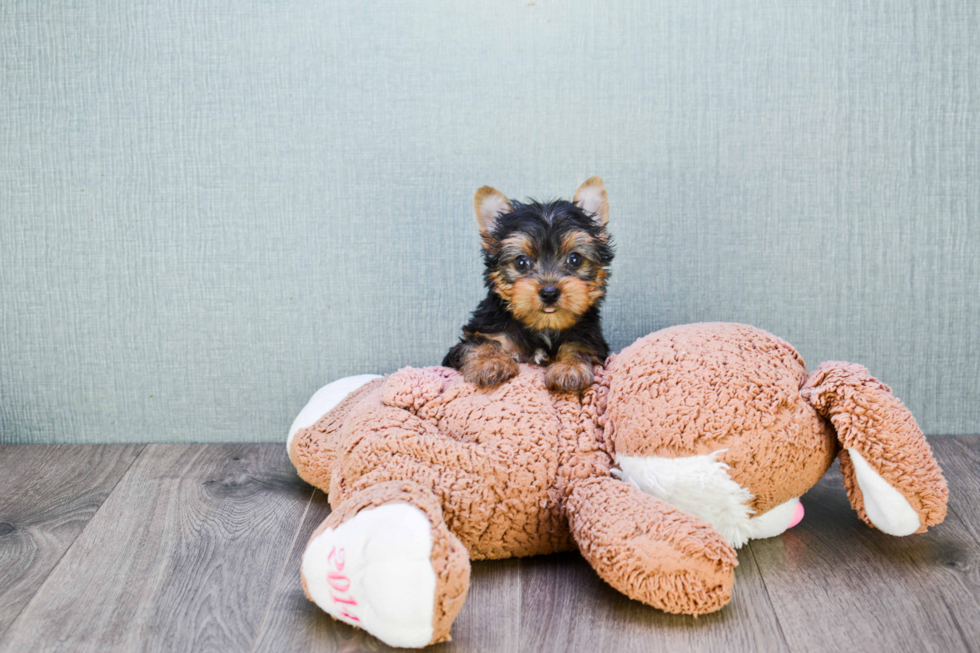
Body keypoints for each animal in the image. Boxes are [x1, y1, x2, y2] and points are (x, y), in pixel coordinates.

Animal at [442, 176, 612, 392]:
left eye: (575, 259)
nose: (549, 293)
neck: (543, 326)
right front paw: (490, 363)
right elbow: (479, 343)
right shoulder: (484, 331)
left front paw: (570, 368)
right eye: (521, 262)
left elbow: (580, 348)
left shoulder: (590, 339)